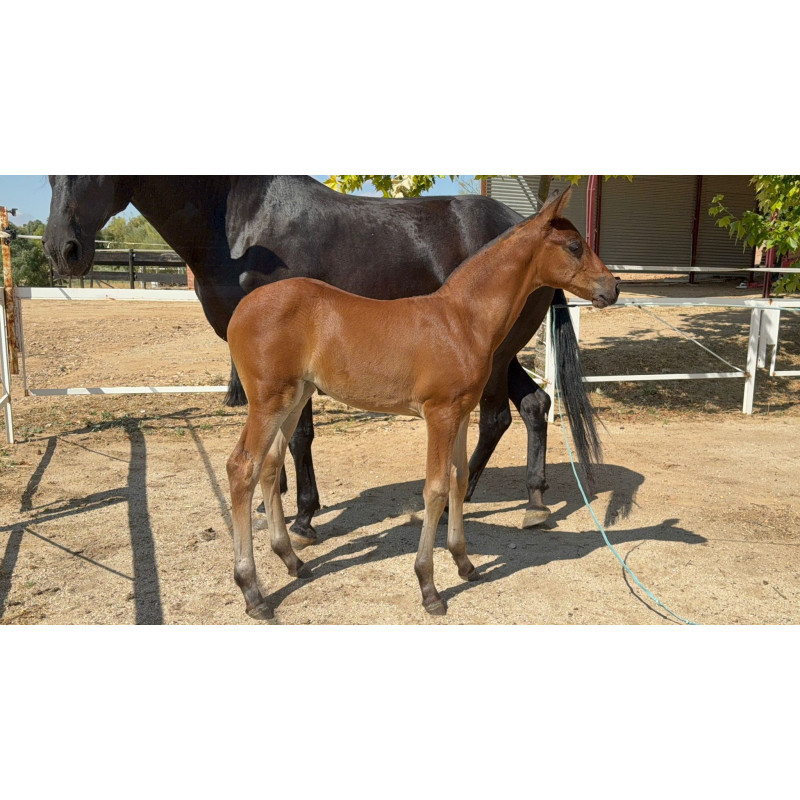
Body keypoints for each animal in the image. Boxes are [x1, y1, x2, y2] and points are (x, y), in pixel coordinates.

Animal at [42, 175, 603, 541]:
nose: (61, 250)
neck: (240, 222)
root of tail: (522, 221)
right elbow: (278, 439)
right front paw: (274, 503)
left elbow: (299, 436)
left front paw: (304, 517)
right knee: (533, 406)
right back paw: (530, 502)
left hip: (497, 353)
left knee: (500, 416)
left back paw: (462, 504)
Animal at [227, 188, 619, 618]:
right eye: (574, 245)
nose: (612, 287)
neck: (461, 320)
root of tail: (242, 309)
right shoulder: (439, 413)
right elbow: (435, 488)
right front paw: (429, 587)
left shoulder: (461, 412)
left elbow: (459, 479)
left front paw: (465, 563)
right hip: (269, 399)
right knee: (242, 468)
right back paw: (252, 592)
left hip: (295, 398)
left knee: (269, 466)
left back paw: (292, 560)